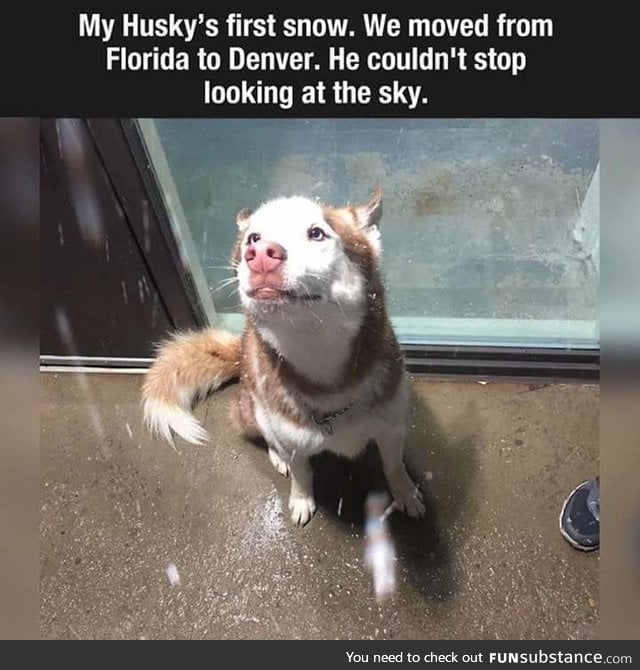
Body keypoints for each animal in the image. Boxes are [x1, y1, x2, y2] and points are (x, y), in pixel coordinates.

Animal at [143, 186, 428, 528]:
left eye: (316, 233)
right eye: (253, 237)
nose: (260, 254)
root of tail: (241, 350)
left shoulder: (392, 427)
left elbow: (394, 465)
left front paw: (405, 493)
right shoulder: (292, 442)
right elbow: (302, 473)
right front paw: (301, 499)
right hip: (252, 412)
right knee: (268, 437)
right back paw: (277, 457)